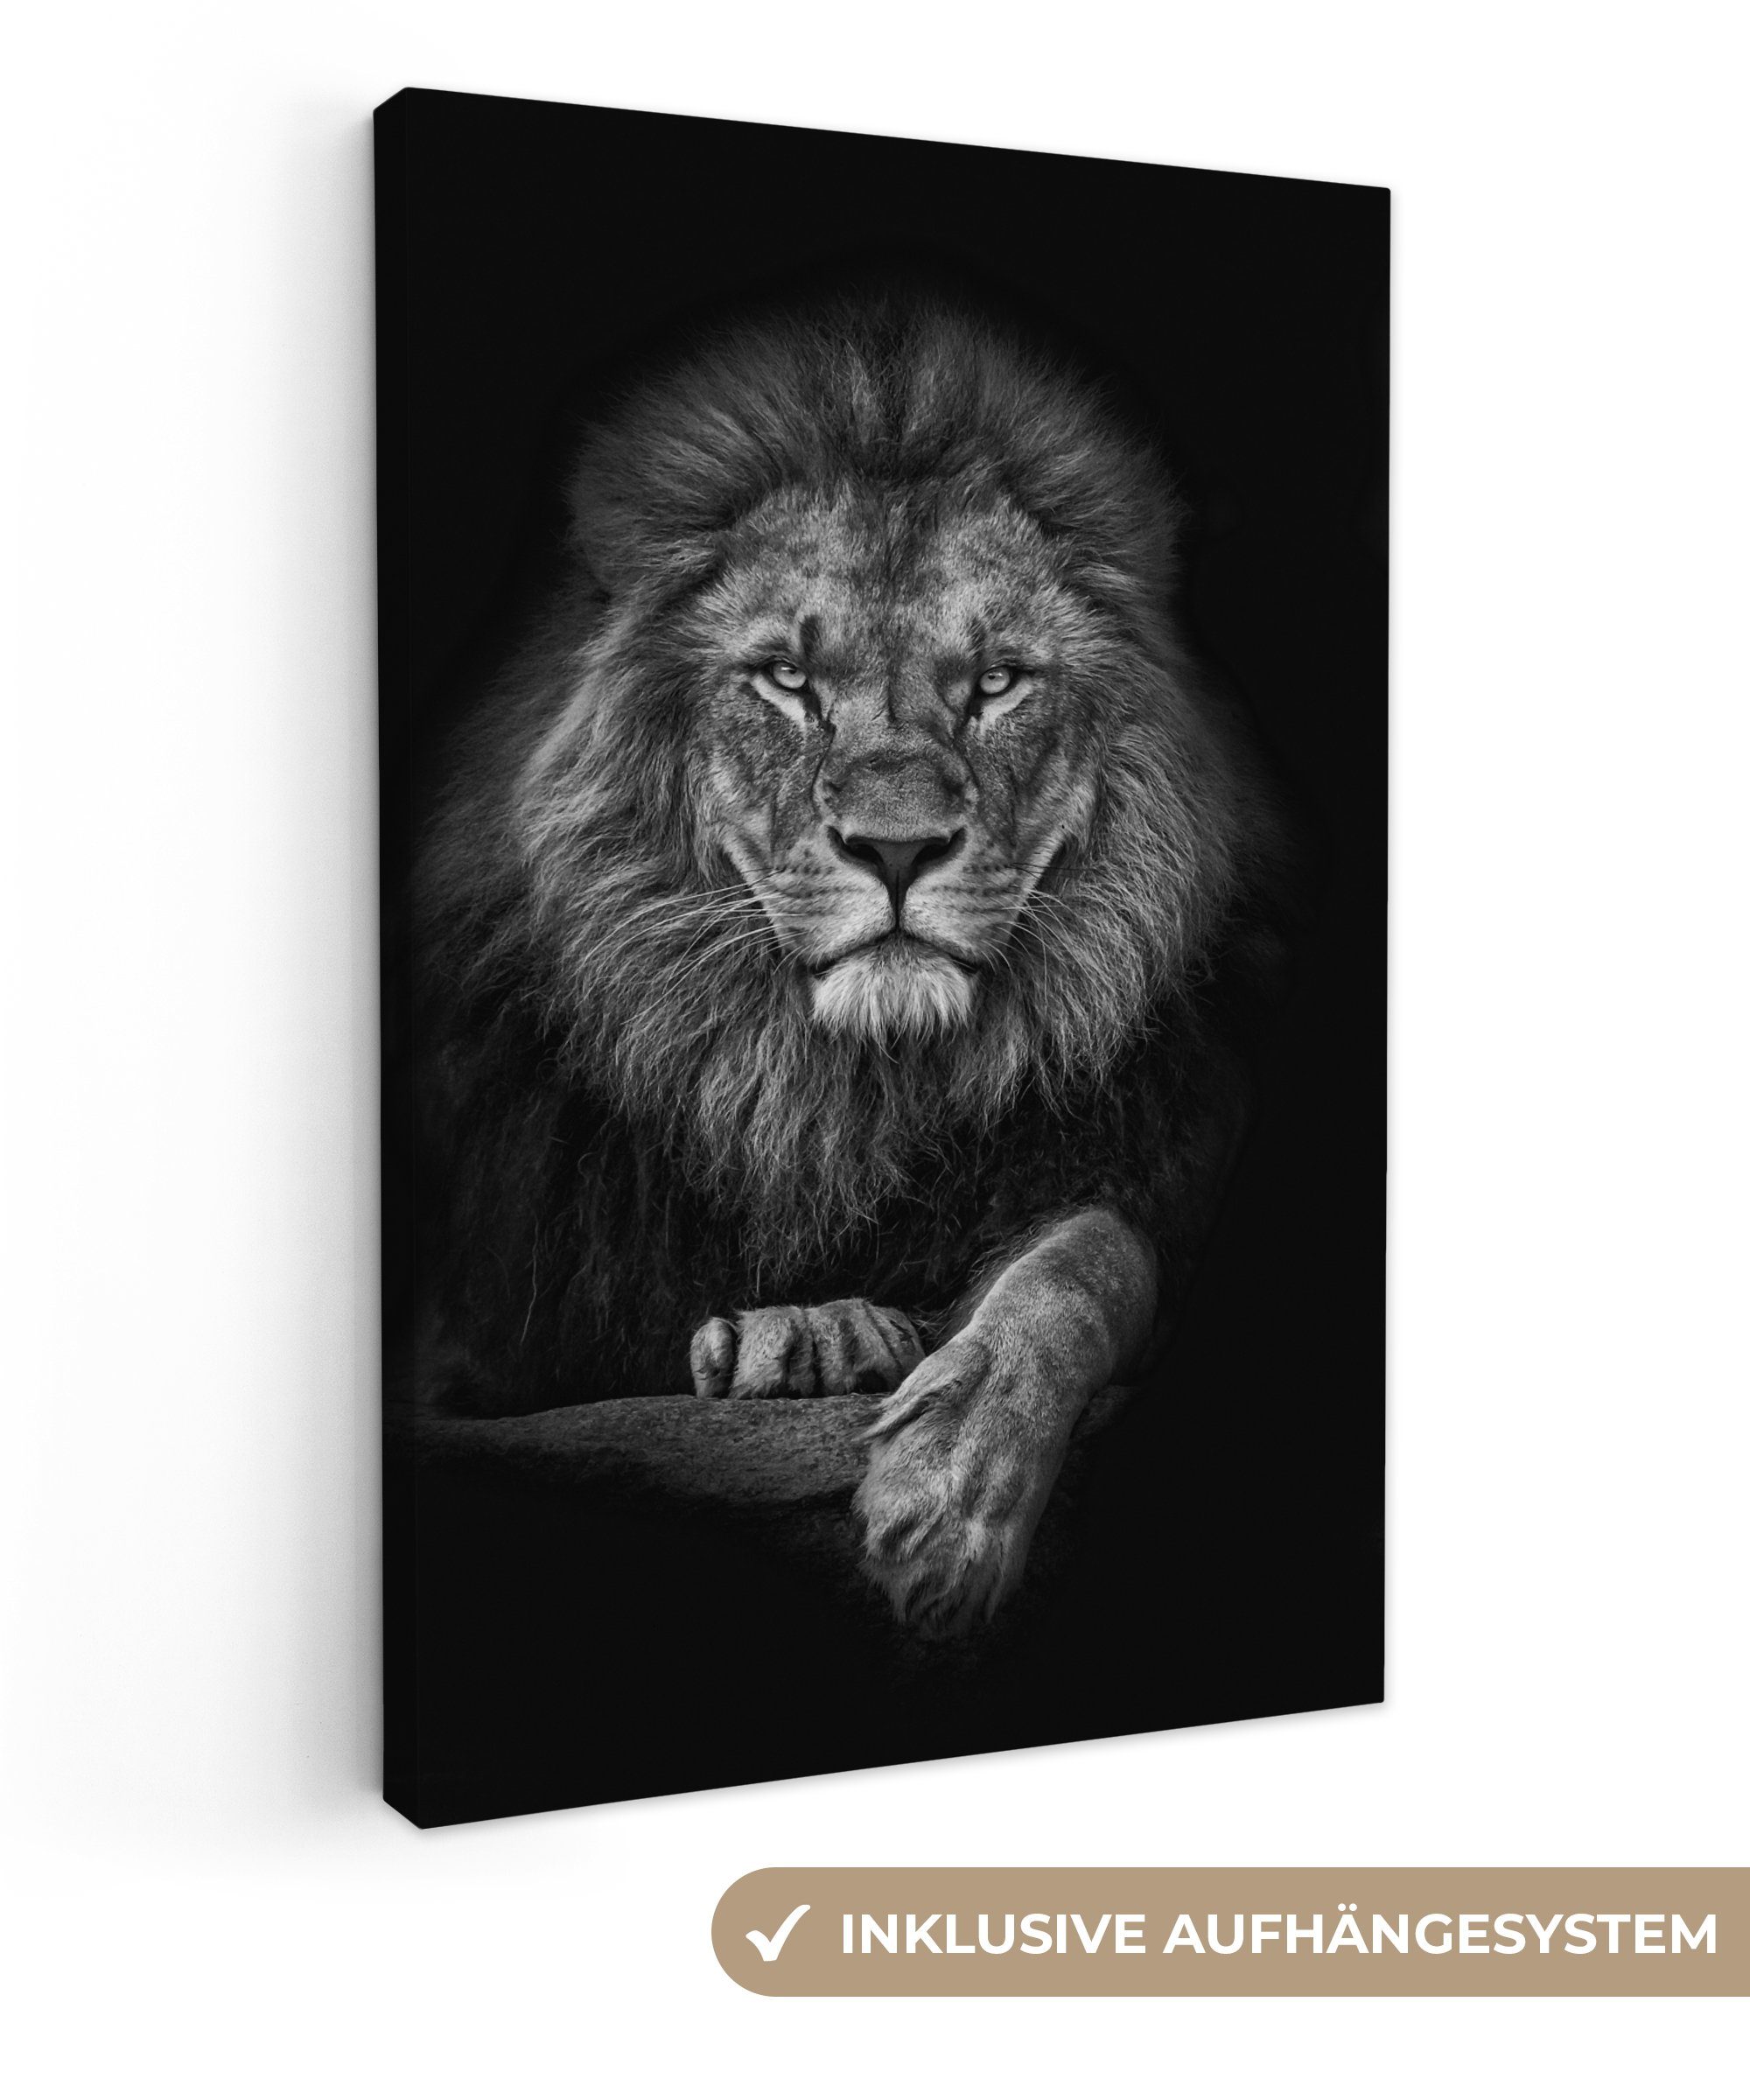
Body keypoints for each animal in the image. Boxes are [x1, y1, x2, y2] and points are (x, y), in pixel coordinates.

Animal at [414, 285, 1296, 1635]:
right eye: (786, 679)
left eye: (997, 682)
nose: (895, 847)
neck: (834, 1097)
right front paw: (803, 1340)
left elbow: (1086, 1261)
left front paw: (951, 1490)